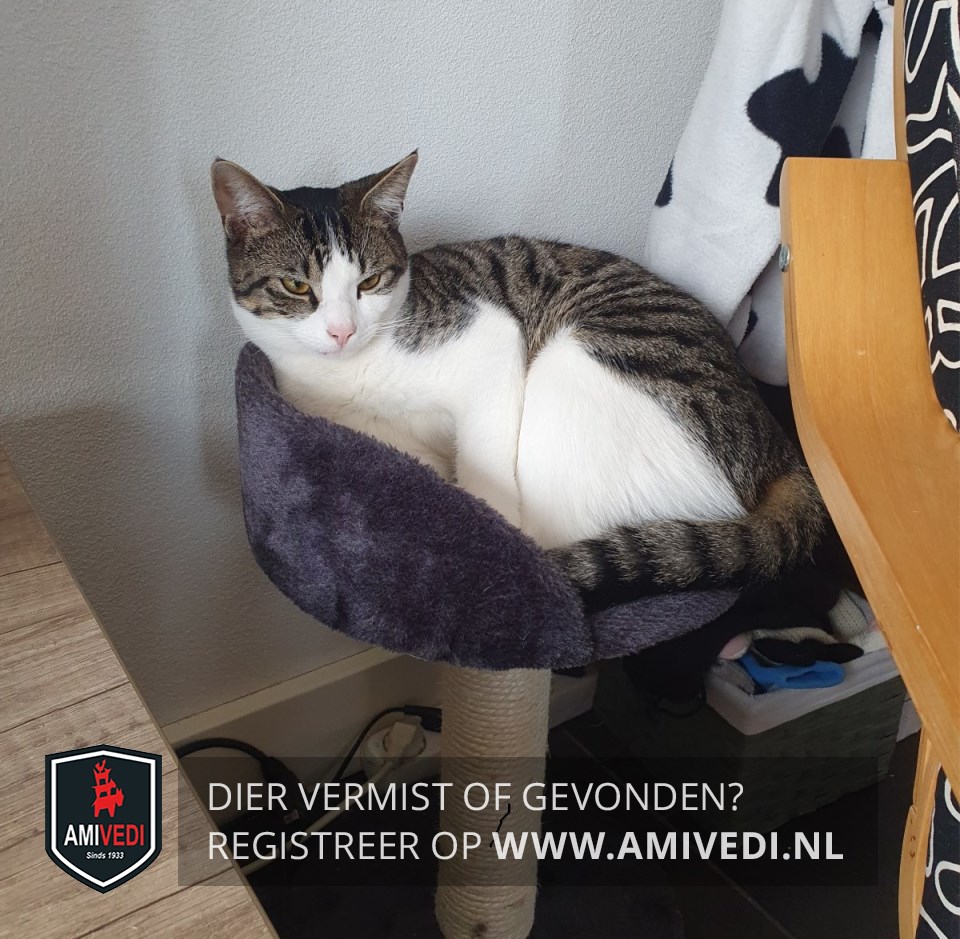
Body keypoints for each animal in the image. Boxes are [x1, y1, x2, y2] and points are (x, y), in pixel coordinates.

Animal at [211, 151, 824, 612]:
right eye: (297, 286)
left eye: (369, 282)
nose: (342, 331)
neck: (350, 375)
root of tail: (776, 445)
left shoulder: (489, 338)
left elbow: (490, 486)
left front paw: (494, 548)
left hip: (573, 372)